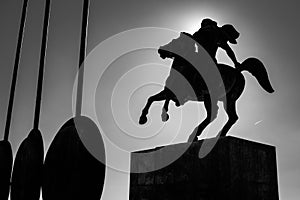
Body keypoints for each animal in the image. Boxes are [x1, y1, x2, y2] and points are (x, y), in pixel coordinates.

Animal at [138, 32, 274, 141]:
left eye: (174, 42)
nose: (160, 50)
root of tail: (238, 71)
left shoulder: (170, 92)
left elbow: (151, 98)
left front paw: (143, 118)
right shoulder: (168, 92)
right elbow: (154, 99)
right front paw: (162, 115)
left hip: (211, 98)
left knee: (212, 116)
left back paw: (195, 135)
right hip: (229, 99)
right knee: (232, 117)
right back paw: (219, 135)